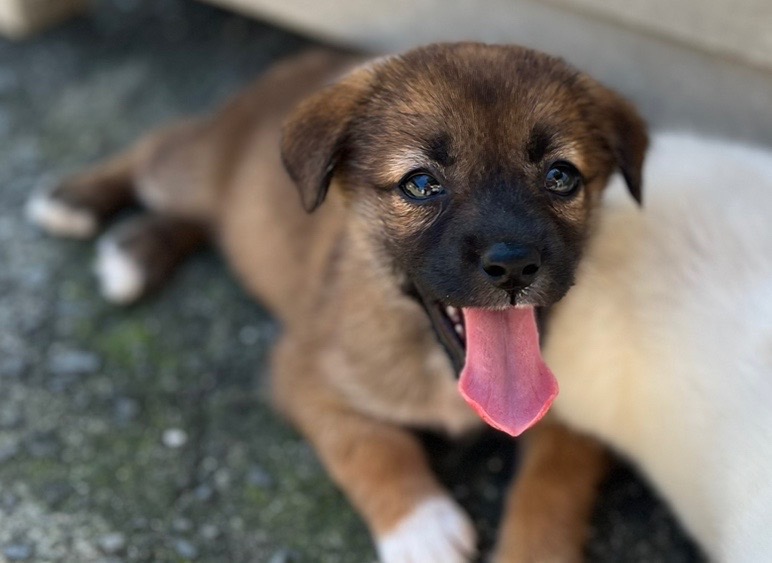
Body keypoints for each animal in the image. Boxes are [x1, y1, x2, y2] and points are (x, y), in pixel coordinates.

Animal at [27, 45, 644, 563]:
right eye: (421, 184)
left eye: (561, 175)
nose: (514, 265)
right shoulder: (302, 372)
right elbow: (370, 443)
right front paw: (421, 526)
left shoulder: (576, 419)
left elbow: (552, 487)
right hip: (187, 169)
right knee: (157, 146)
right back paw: (78, 201)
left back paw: (141, 248)